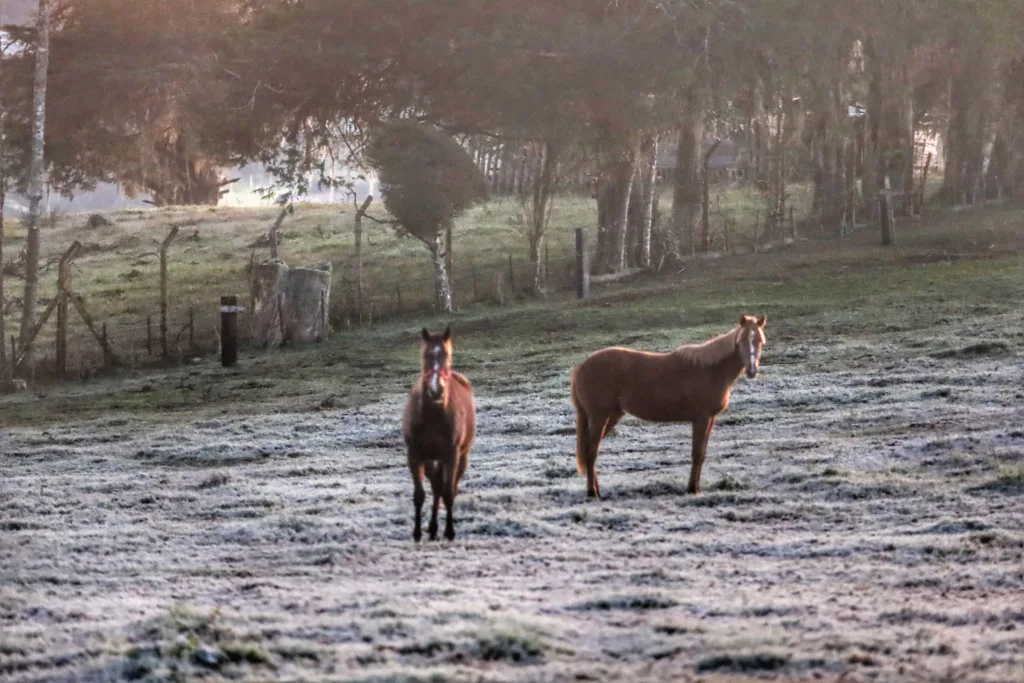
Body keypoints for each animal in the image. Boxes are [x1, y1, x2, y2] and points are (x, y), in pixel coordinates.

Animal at [401, 327, 477, 544]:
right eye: (425, 355)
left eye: (447, 356)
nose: (436, 390)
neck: (433, 415)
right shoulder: (415, 455)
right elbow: (420, 495)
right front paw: (417, 533)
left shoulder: (451, 456)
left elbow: (448, 492)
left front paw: (450, 532)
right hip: (431, 460)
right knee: (435, 487)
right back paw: (432, 528)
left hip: (461, 458)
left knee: (446, 488)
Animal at [573, 313, 765, 497]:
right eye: (742, 340)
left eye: (759, 340)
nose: (752, 371)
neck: (711, 370)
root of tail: (581, 367)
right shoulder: (701, 418)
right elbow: (697, 454)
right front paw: (692, 489)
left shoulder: (710, 418)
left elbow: (701, 454)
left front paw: (696, 488)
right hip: (599, 416)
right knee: (591, 451)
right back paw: (592, 493)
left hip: (611, 415)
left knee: (591, 449)